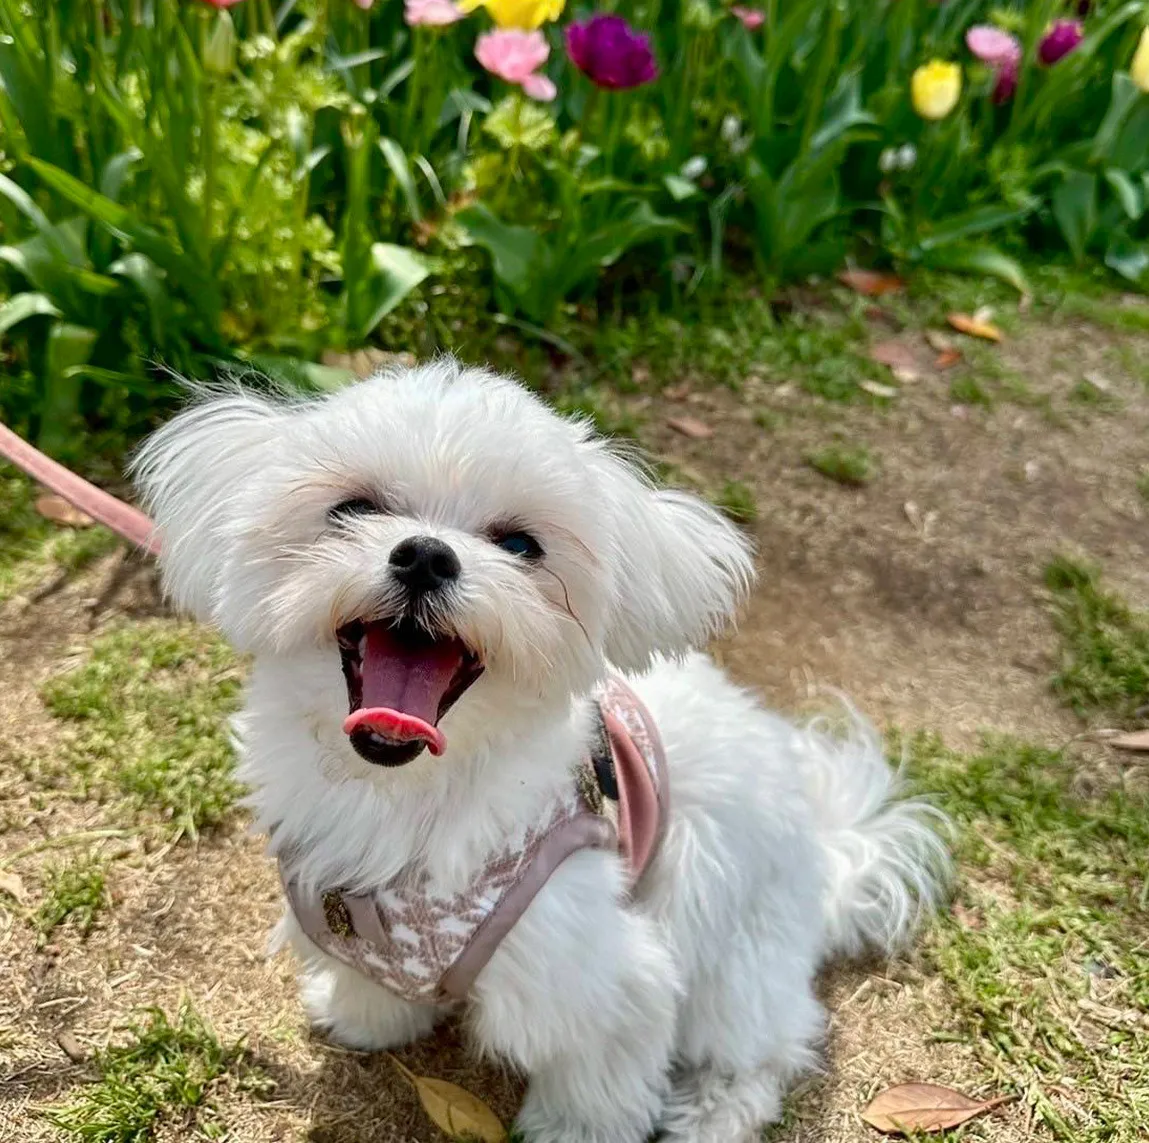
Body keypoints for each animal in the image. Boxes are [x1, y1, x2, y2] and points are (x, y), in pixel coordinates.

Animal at [133, 359, 948, 1143]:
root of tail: (828, 840)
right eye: (354, 509)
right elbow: (374, 987)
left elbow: (600, 1072)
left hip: (730, 934)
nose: (425, 555)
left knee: (760, 1045)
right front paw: (365, 1017)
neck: (400, 795)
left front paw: (572, 1130)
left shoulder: (600, 967)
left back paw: (711, 1114)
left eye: (521, 545)